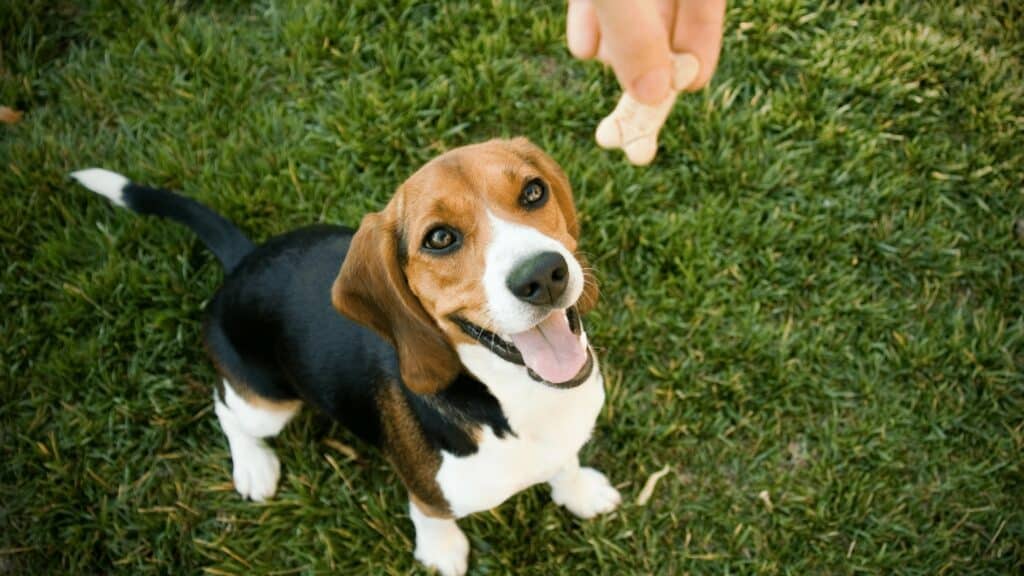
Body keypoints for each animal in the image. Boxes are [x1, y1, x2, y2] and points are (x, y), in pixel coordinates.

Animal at [72, 136, 618, 569]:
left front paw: (578, 492)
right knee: (226, 408)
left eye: (533, 191)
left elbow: (566, 463)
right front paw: (441, 553)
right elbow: (430, 515)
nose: (543, 274)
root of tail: (244, 260)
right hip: (267, 404)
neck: (517, 398)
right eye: (440, 238)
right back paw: (253, 465)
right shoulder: (427, 491)